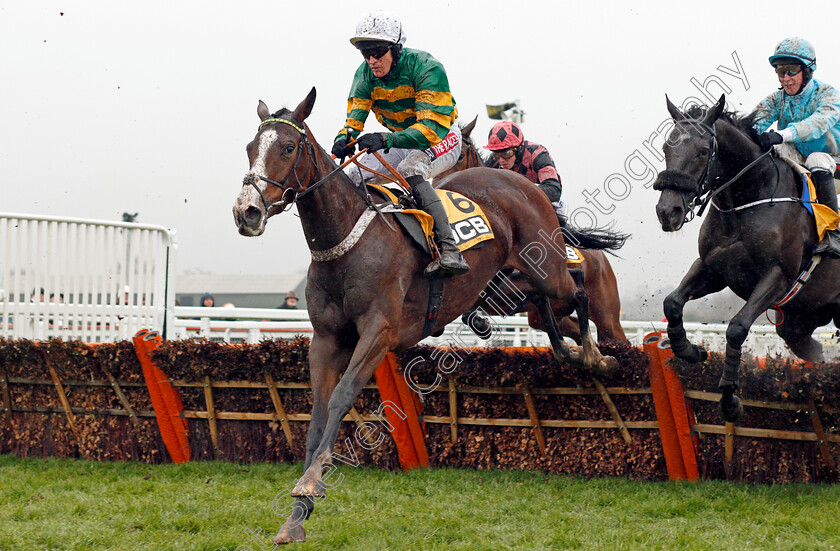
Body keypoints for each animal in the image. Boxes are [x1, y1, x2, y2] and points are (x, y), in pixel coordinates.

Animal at [656, 94, 840, 422]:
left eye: (703, 151)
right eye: (667, 147)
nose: (668, 212)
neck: (749, 200)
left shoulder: (778, 277)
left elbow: (737, 327)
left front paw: (730, 399)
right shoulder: (712, 269)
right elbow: (673, 303)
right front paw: (690, 351)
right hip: (801, 318)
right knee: (811, 349)